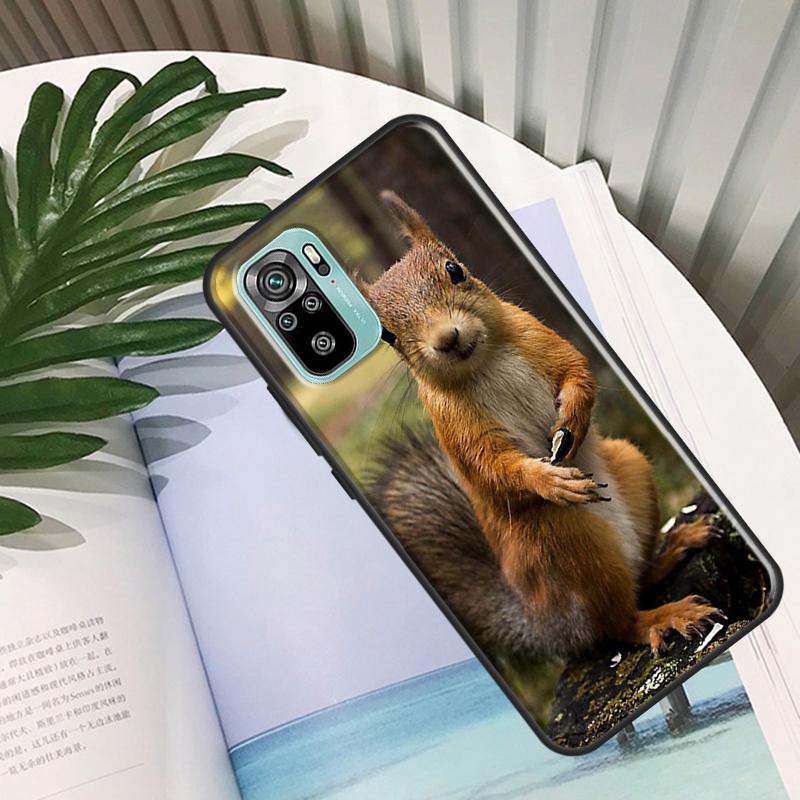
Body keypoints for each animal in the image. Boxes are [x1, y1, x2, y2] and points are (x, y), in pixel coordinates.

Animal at [363, 190, 721, 658]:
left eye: (454, 270)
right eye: (386, 335)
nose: (446, 338)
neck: (483, 363)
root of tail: (549, 623)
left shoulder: (537, 335)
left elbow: (577, 371)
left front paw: (572, 419)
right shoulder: (453, 425)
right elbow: (491, 465)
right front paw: (548, 479)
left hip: (632, 464)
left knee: (639, 582)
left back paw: (674, 548)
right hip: (560, 538)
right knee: (618, 624)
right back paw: (661, 616)